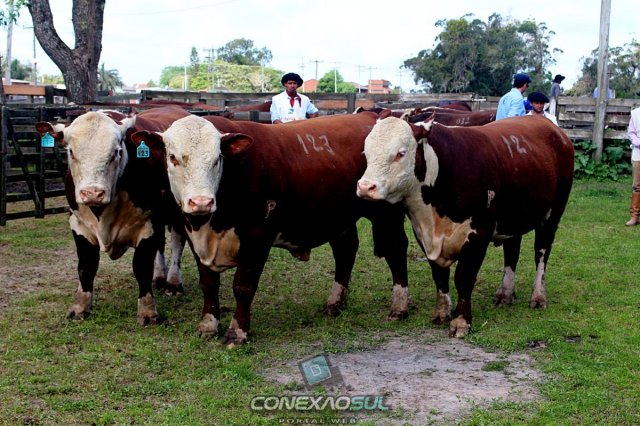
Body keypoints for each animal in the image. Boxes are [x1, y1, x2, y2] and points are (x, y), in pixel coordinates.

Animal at [35, 106, 193, 325]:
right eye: (71, 152)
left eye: (116, 152)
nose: (92, 193)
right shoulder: (78, 225)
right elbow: (86, 266)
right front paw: (80, 307)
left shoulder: (147, 225)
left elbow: (142, 268)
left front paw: (148, 312)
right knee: (161, 244)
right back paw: (160, 278)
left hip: (177, 214)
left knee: (177, 243)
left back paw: (173, 282)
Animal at [131, 112, 410, 347]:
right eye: (173, 157)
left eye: (217, 159)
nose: (201, 202)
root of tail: (371, 116)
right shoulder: (195, 237)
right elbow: (208, 284)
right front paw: (209, 326)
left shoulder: (257, 238)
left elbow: (243, 286)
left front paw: (237, 332)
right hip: (338, 217)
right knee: (345, 251)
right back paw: (335, 303)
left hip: (386, 211)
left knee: (396, 250)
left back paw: (399, 306)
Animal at [356, 115, 574, 337]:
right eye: (366, 152)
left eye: (400, 153)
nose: (365, 187)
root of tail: (551, 127)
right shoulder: (423, 235)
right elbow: (439, 275)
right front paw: (442, 312)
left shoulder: (478, 234)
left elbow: (464, 277)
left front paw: (461, 321)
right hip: (513, 218)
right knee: (512, 251)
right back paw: (505, 294)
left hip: (552, 216)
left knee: (541, 254)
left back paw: (538, 297)